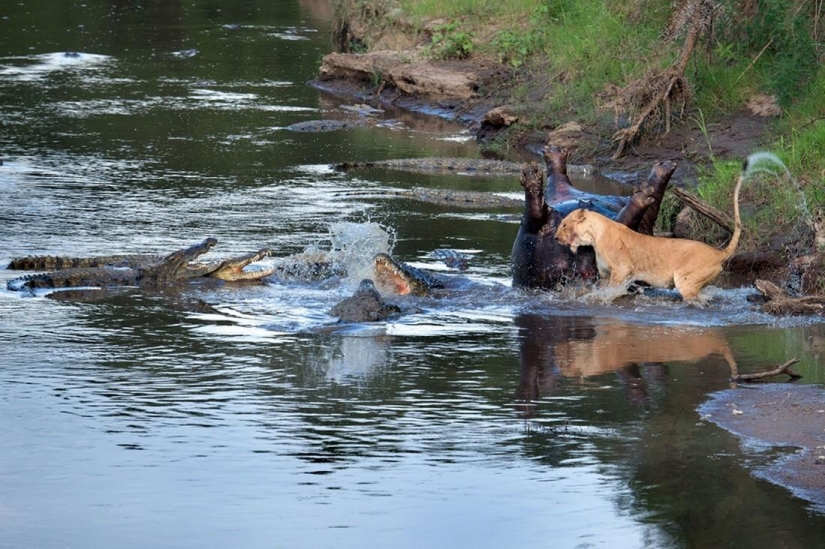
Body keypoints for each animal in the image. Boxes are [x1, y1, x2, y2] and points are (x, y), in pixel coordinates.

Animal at [555, 169, 743, 301]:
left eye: (564, 224)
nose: (555, 238)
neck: (595, 235)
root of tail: (718, 253)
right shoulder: (604, 274)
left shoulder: (622, 270)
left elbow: (611, 290)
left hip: (686, 280)